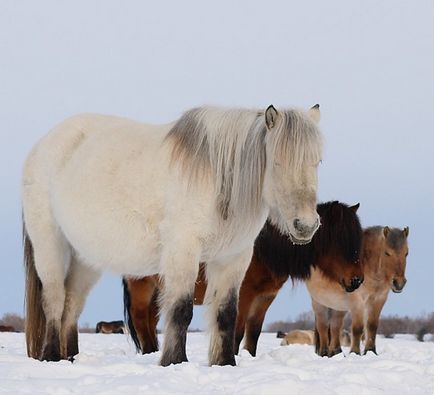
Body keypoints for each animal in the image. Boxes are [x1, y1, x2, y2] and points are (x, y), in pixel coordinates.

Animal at [22, 103, 322, 366]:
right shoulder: (183, 250)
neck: (217, 179)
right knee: (54, 298)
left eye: (318, 161)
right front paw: (174, 360)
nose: (306, 226)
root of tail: (42, 145)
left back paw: (70, 358)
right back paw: (51, 356)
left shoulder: (233, 258)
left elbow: (226, 313)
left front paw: (224, 362)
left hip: (85, 258)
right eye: (278, 162)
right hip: (50, 243)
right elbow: (180, 310)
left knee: (71, 304)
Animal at [123, 203, 362, 358]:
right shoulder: (243, 294)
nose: (358, 280)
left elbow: (253, 333)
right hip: (142, 287)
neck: (264, 250)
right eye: (341, 240)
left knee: (150, 322)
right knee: (140, 320)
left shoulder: (264, 298)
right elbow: (236, 331)